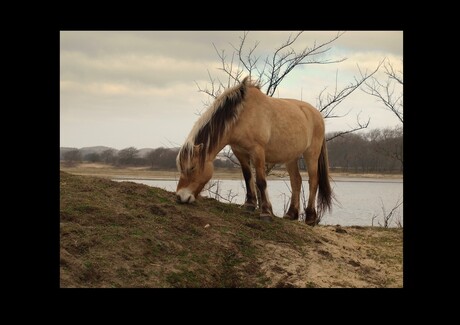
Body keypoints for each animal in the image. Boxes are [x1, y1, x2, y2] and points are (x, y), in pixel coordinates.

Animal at [175, 76, 330, 224]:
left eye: (192, 167)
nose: (180, 197)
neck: (241, 115)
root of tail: (317, 114)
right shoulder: (239, 152)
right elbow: (247, 176)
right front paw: (249, 205)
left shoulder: (258, 151)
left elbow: (261, 181)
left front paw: (266, 212)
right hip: (291, 157)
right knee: (296, 181)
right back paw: (291, 214)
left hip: (311, 154)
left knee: (313, 181)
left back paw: (310, 217)